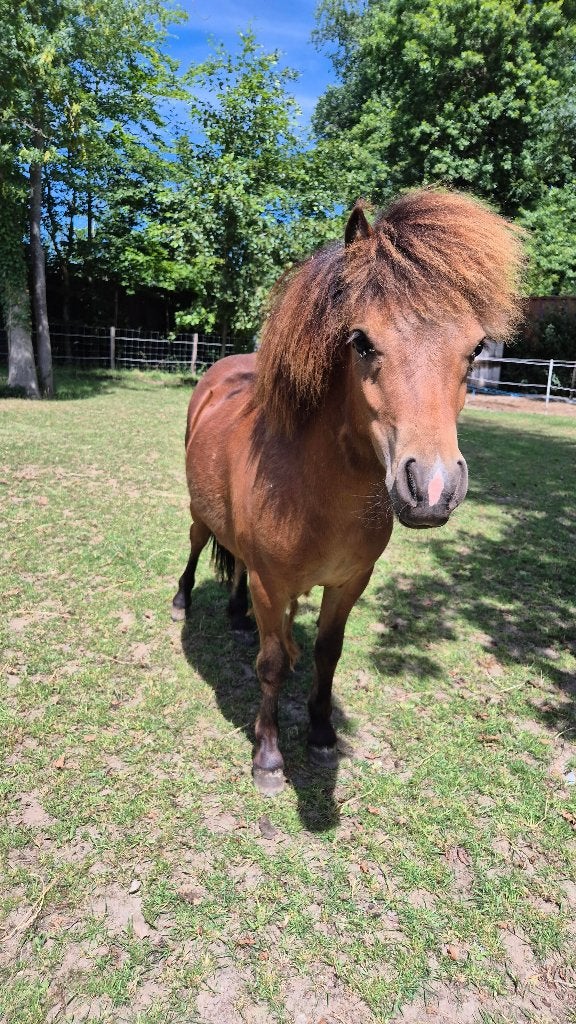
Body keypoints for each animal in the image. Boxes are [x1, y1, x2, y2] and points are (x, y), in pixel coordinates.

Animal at [172, 188, 523, 795]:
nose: (432, 489)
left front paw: (320, 732)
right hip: (199, 512)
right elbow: (273, 664)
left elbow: (325, 653)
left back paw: (237, 617)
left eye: (477, 349)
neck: (317, 494)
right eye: (361, 342)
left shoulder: (349, 583)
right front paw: (268, 758)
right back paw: (181, 601)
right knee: (197, 546)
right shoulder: (272, 584)